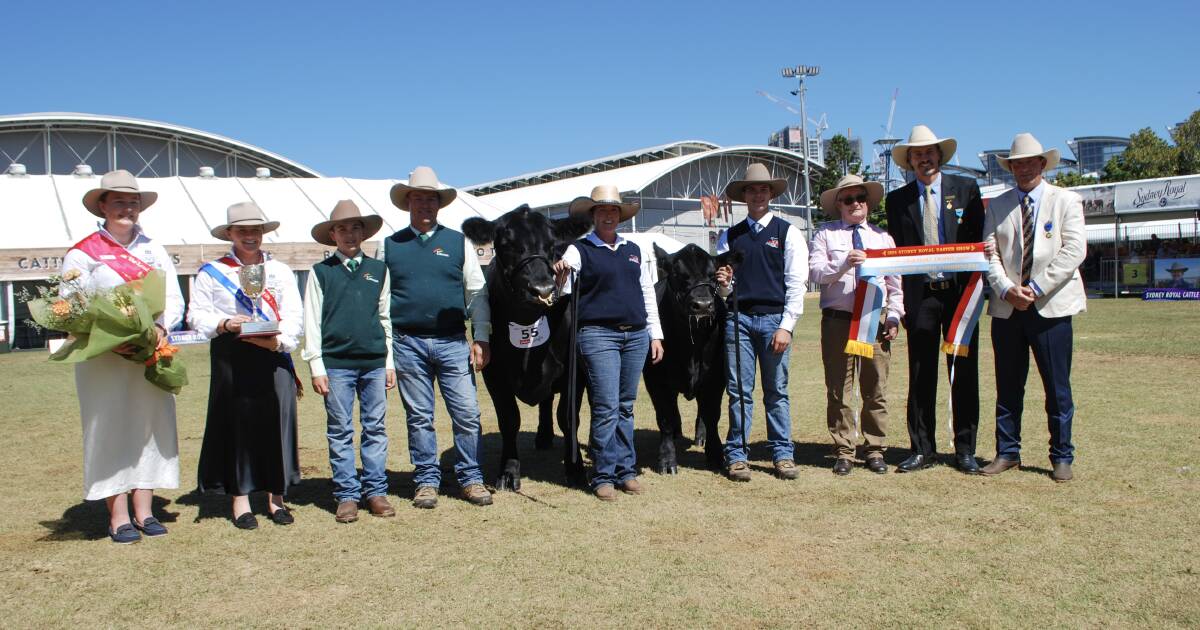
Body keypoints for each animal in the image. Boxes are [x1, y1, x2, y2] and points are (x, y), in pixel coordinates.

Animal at [458, 204, 590, 489]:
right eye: (506, 244)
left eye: (553, 245)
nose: (542, 288)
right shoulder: (493, 372)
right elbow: (509, 419)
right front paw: (509, 471)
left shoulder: (575, 370)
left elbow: (568, 417)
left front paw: (575, 469)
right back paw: (542, 436)